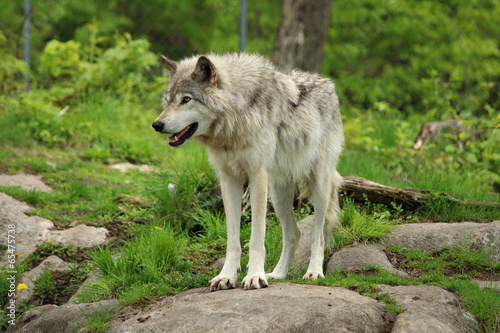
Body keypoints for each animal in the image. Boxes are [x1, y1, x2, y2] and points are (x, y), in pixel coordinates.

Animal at [152, 52, 344, 290]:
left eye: (186, 100)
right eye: (168, 100)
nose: (156, 125)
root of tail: (329, 84)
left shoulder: (257, 175)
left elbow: (256, 237)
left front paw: (254, 276)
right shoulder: (228, 179)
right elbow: (232, 240)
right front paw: (226, 276)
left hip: (318, 186)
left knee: (320, 233)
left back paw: (314, 272)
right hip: (278, 194)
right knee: (294, 234)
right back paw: (278, 273)